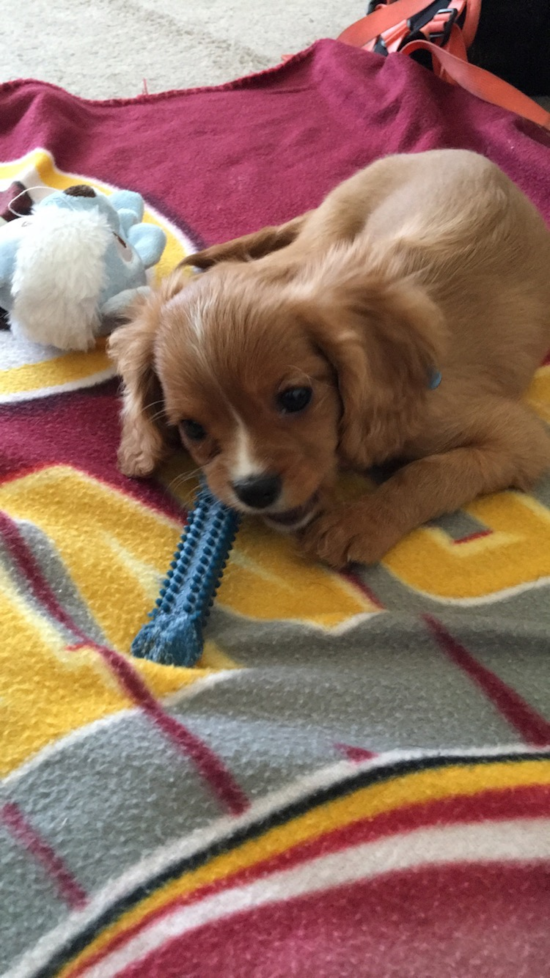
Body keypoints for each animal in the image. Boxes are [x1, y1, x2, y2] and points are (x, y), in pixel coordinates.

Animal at [110, 149, 550, 568]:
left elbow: (429, 472)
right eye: (192, 428)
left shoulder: (518, 438)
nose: (254, 490)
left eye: (295, 398)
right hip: (325, 236)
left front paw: (360, 523)